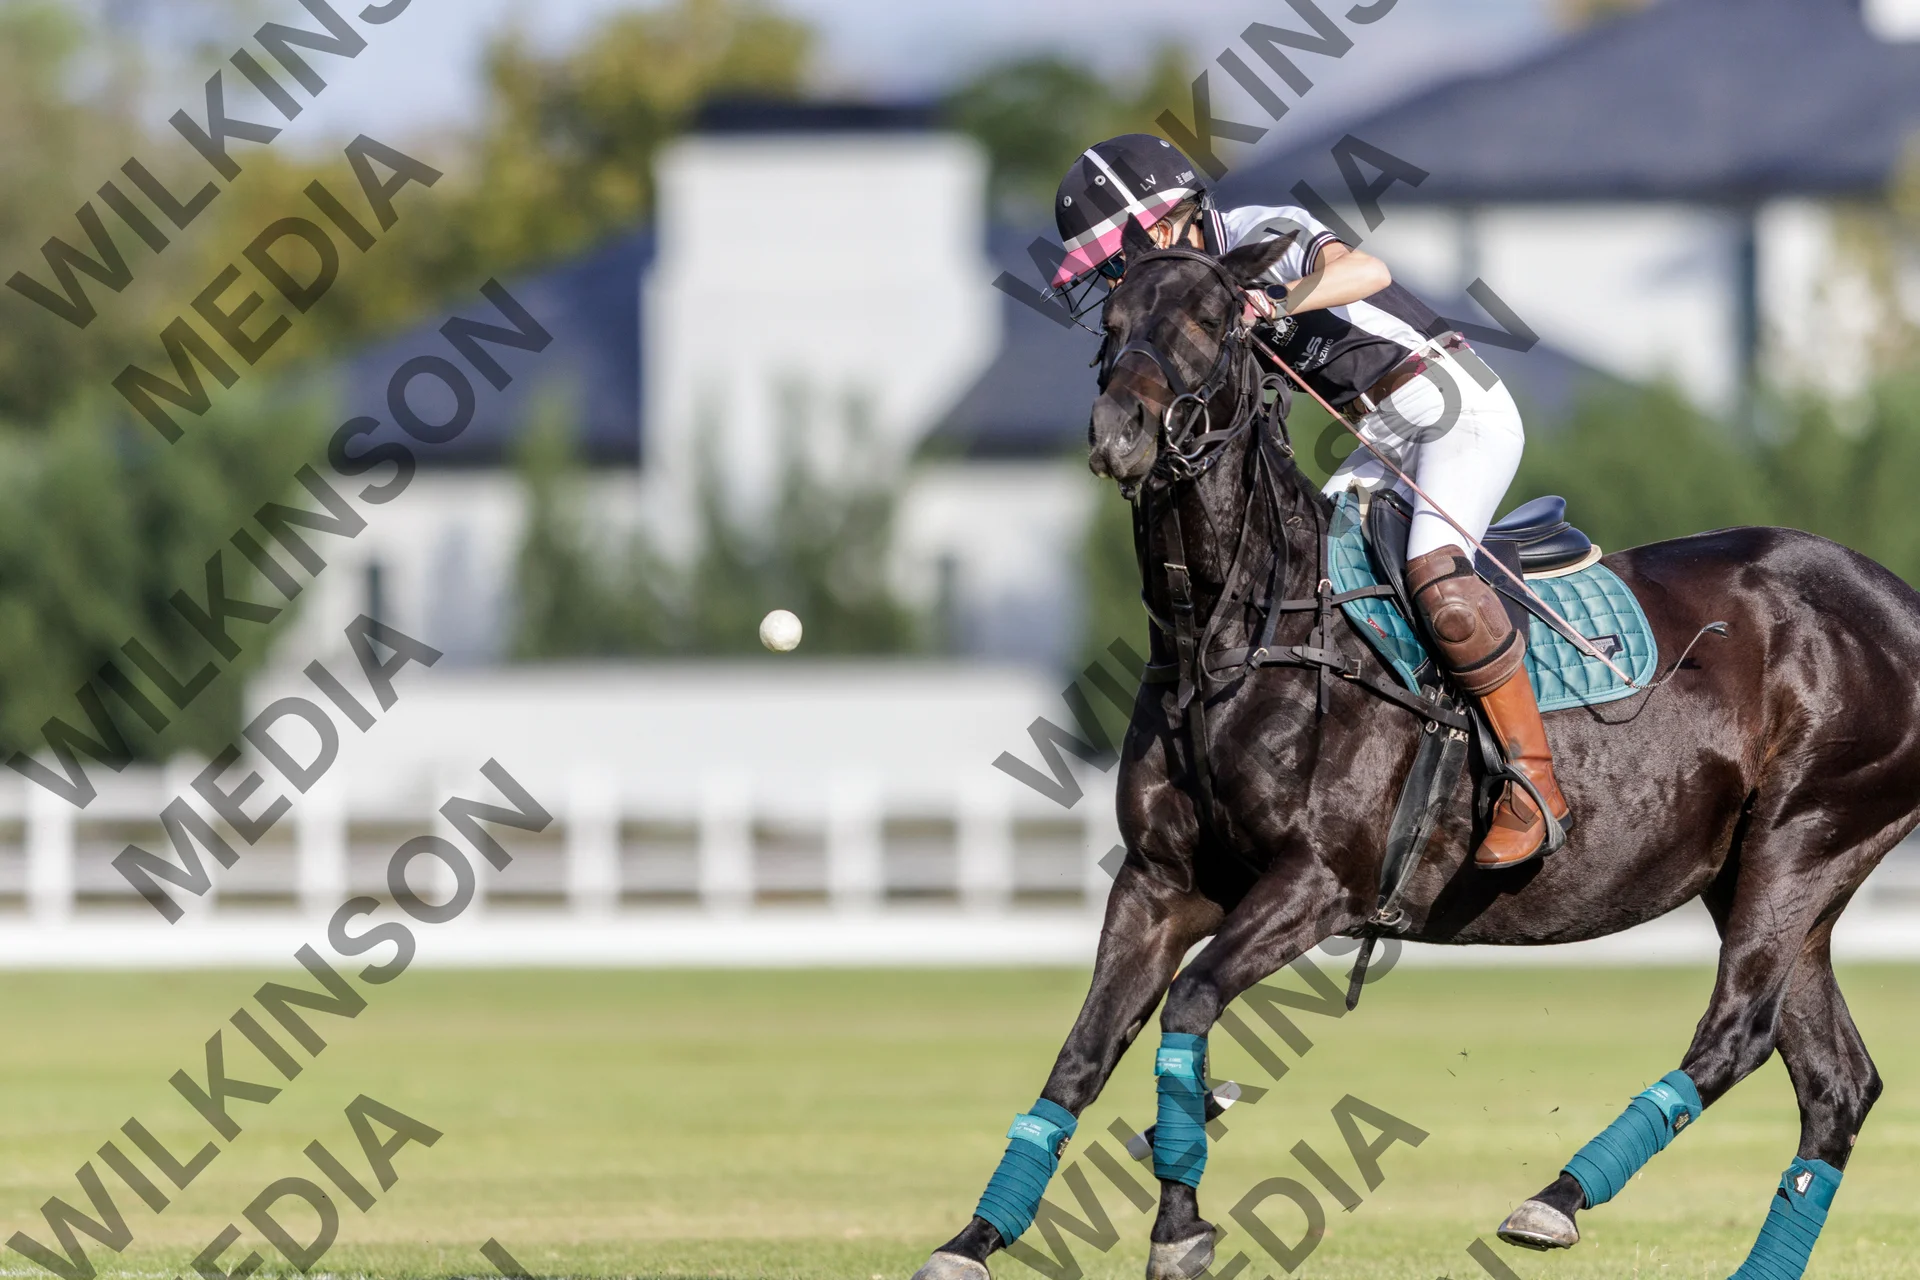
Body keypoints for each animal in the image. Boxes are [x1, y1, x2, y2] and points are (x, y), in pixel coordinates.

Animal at [911, 229, 1920, 1280]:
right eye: (1108, 325)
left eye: (1210, 319)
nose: (1121, 431)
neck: (1232, 633)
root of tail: (1896, 601)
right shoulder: (1160, 883)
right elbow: (1082, 1054)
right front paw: (977, 1239)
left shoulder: (1320, 881)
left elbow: (1189, 1004)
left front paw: (1179, 1221)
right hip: (1763, 873)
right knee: (1836, 1083)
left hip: (1803, 840)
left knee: (1736, 1034)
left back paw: (1554, 1199)